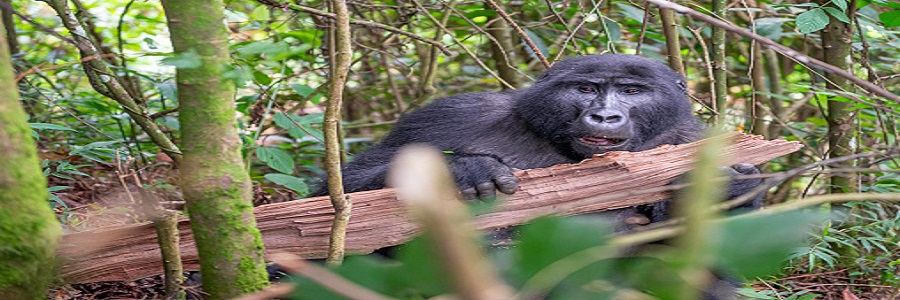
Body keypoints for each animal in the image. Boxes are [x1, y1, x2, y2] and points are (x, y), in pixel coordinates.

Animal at [314, 54, 760, 219]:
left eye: (633, 92)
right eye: (586, 89)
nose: (604, 115)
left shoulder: (689, 137)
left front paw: (730, 189)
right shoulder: (454, 114)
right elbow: (341, 192)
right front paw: (465, 168)